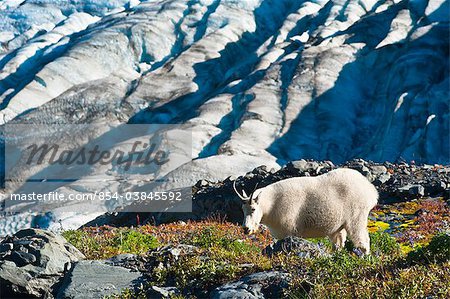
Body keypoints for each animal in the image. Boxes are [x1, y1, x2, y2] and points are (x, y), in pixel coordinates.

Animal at [234, 168, 378, 254]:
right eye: (242, 210)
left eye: (253, 209)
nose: (246, 229)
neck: (270, 205)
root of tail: (371, 190)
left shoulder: (290, 229)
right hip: (339, 224)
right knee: (339, 241)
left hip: (357, 216)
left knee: (363, 240)